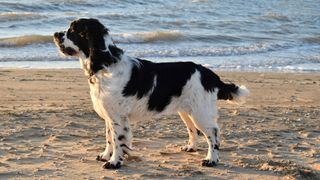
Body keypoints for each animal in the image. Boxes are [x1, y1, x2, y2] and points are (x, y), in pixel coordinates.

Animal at [53, 18, 250, 169]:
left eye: (72, 31)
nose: (55, 34)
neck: (105, 64)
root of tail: (209, 74)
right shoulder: (109, 115)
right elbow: (109, 138)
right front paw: (105, 155)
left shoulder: (118, 117)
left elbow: (117, 141)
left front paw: (114, 162)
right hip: (186, 111)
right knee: (193, 130)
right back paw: (190, 148)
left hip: (200, 112)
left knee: (213, 134)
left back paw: (211, 160)